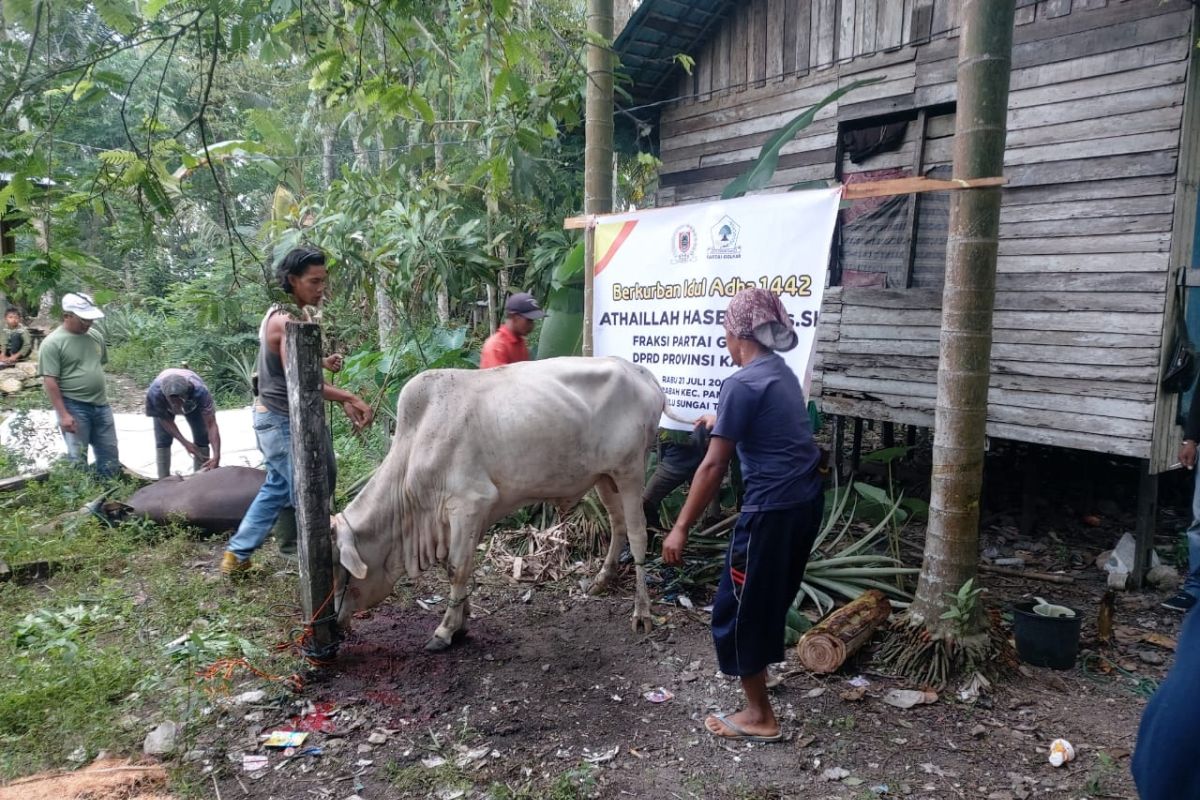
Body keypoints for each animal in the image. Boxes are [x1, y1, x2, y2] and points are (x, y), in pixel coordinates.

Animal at [333, 357, 681, 652]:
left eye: (339, 569)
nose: (337, 622)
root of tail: (640, 371)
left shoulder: (470, 503)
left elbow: (456, 568)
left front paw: (445, 631)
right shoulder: (461, 518)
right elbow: (458, 566)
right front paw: (461, 621)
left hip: (631, 469)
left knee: (638, 534)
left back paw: (641, 613)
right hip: (604, 476)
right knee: (617, 524)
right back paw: (601, 581)